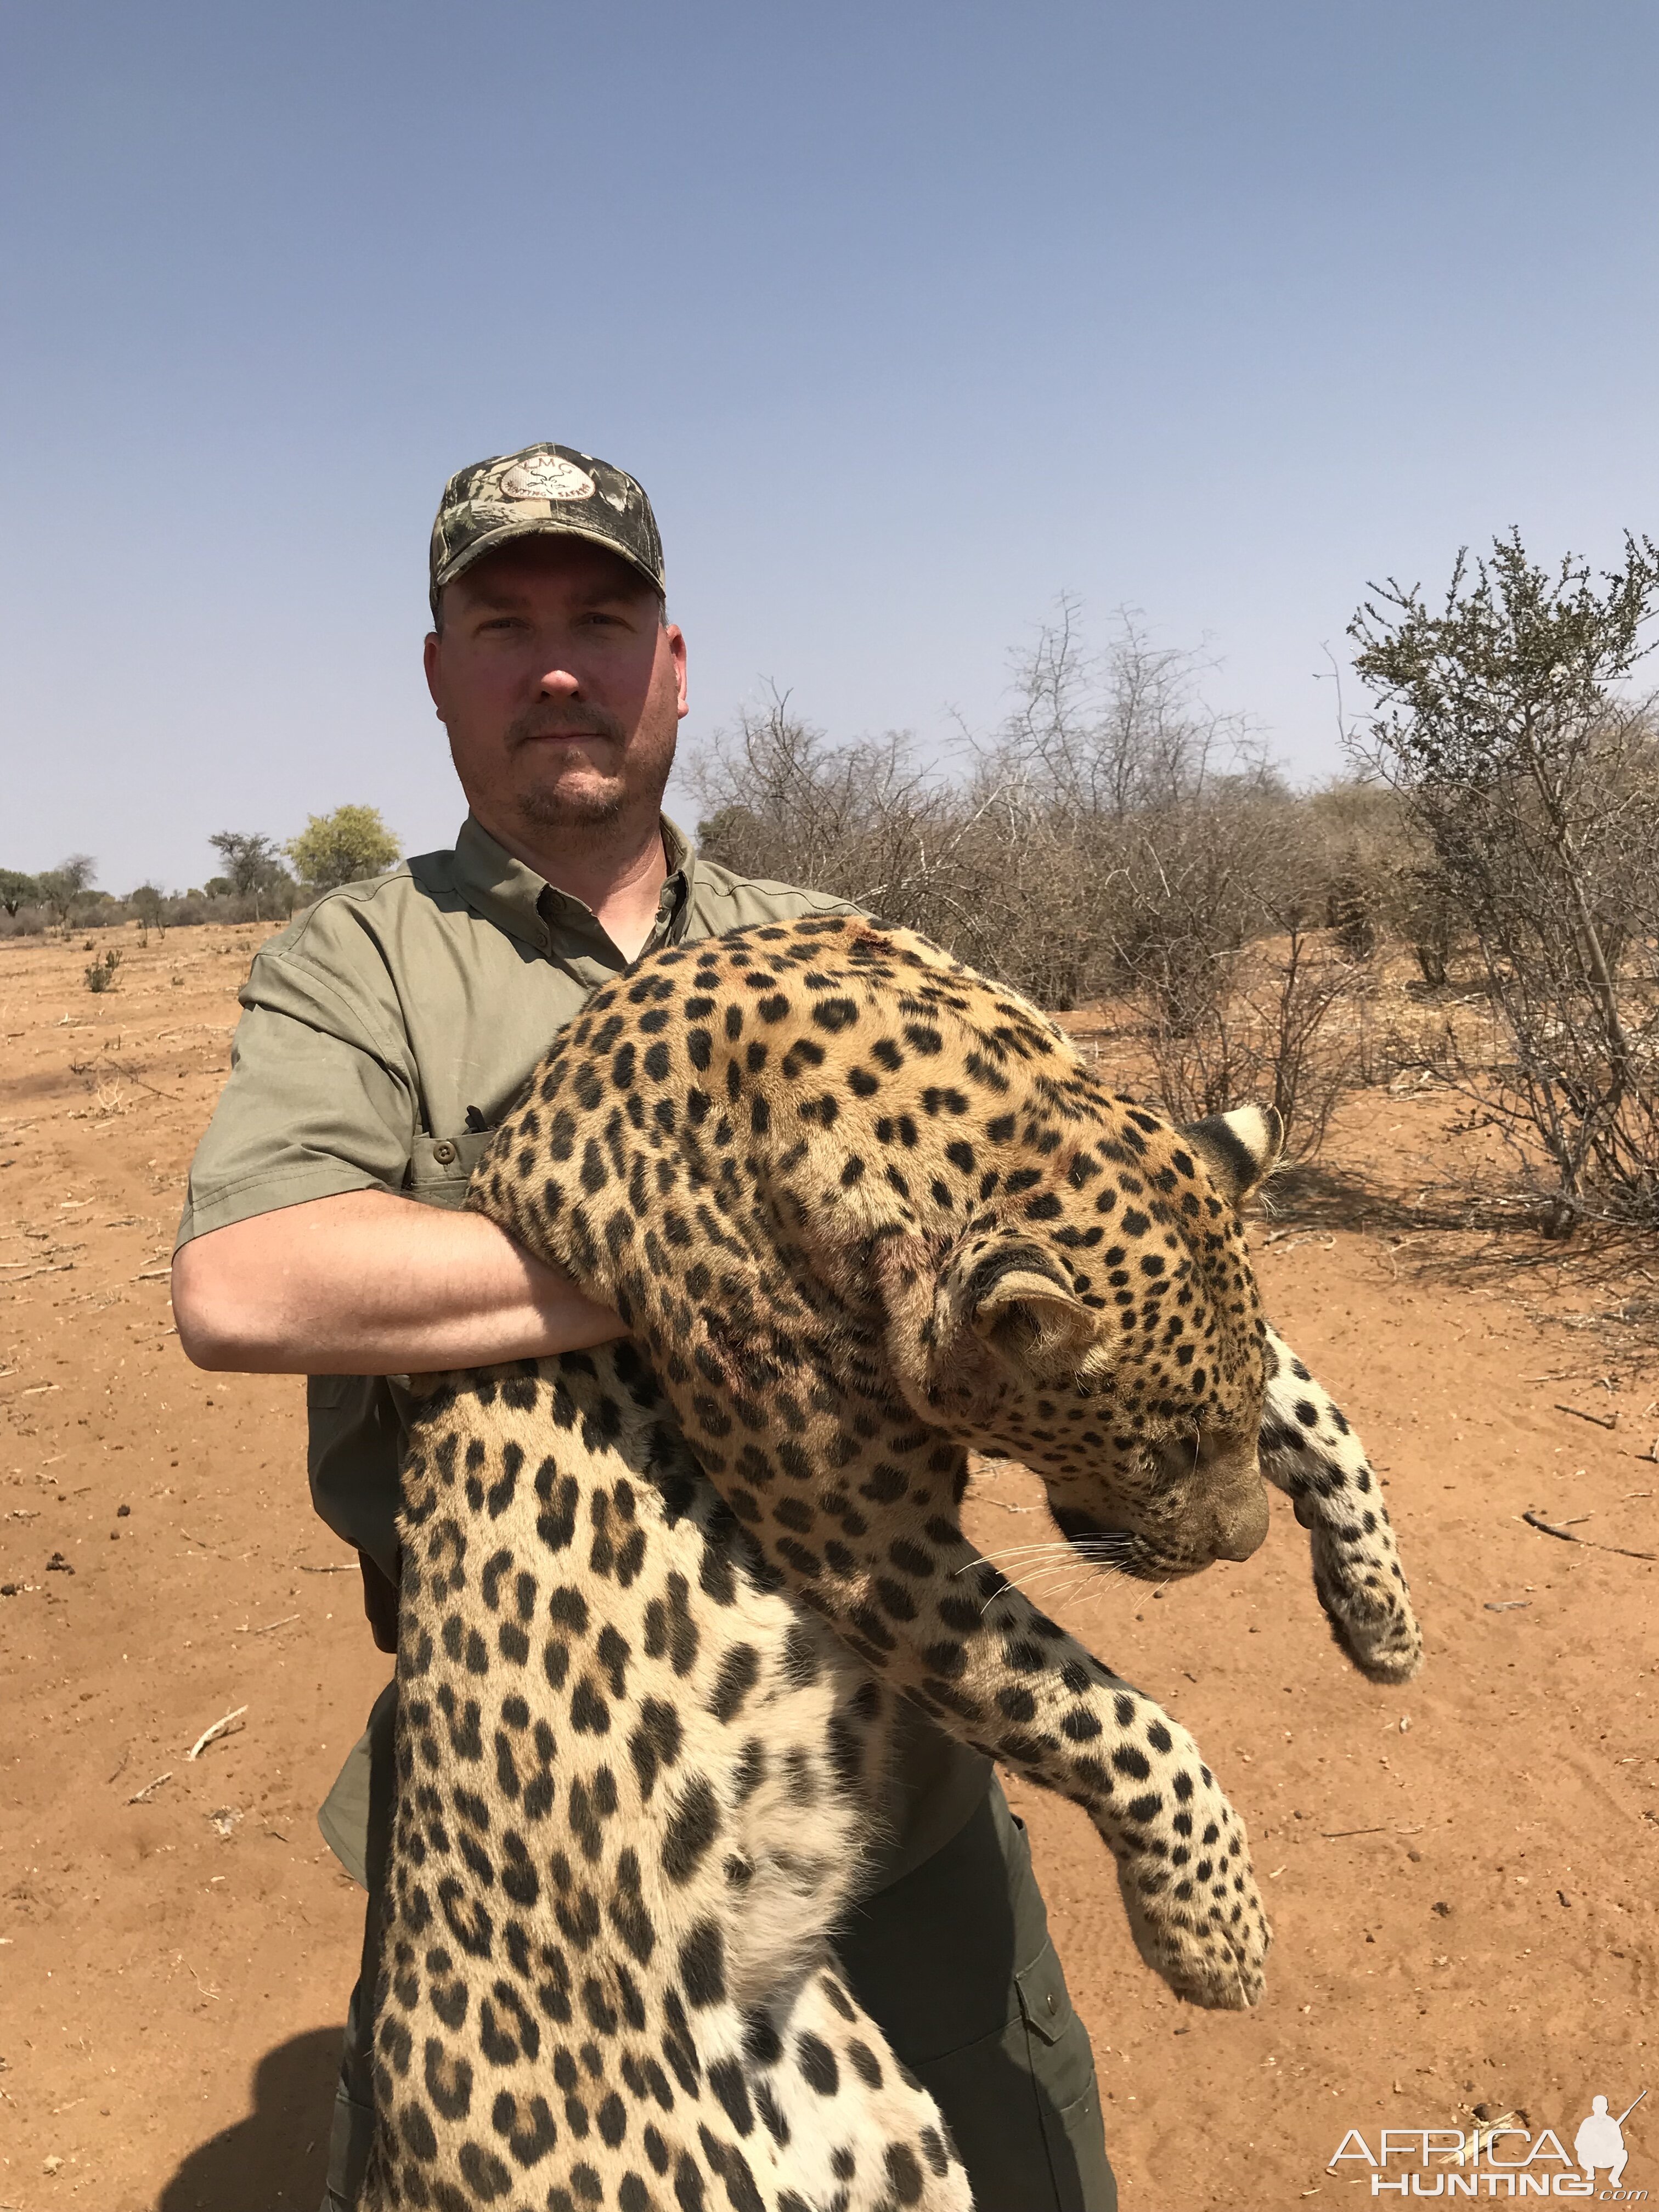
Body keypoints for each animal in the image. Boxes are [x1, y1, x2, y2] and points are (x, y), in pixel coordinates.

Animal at [367, 911, 1433, 2212]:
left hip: (893, 2139)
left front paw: (1380, 1616)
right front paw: (1214, 1932)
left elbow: (1310, 1398)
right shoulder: (860, 1538)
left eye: (1213, 1428)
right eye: (1157, 1448)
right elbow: (1111, 1719)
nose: (1241, 1550)